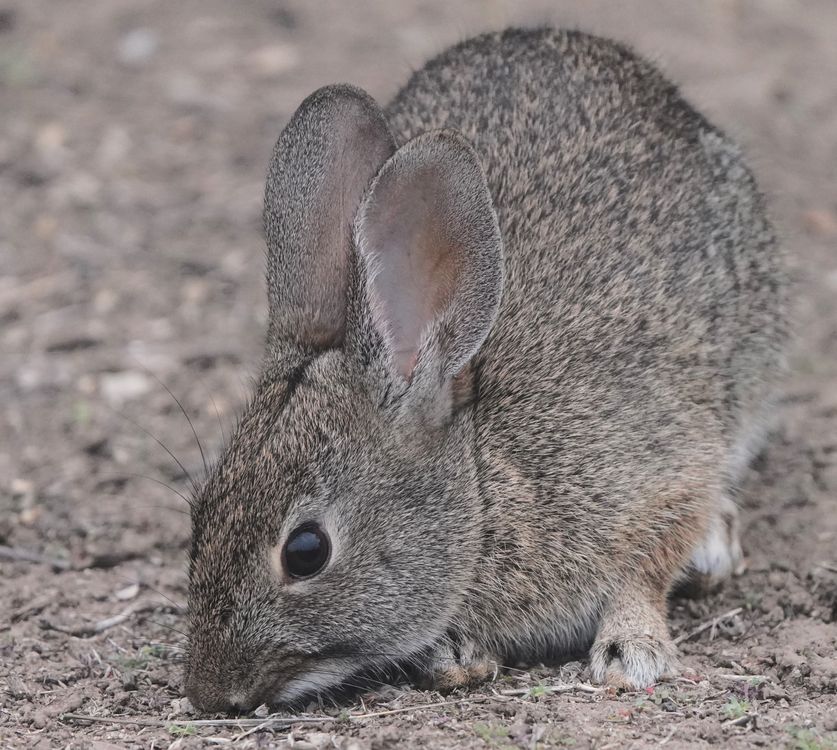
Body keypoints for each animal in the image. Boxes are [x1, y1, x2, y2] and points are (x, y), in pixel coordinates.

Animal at [183, 28, 786, 712]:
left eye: (306, 551)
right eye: (200, 516)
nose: (209, 692)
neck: (480, 494)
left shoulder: (658, 470)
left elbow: (648, 566)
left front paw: (631, 651)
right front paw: (455, 655)